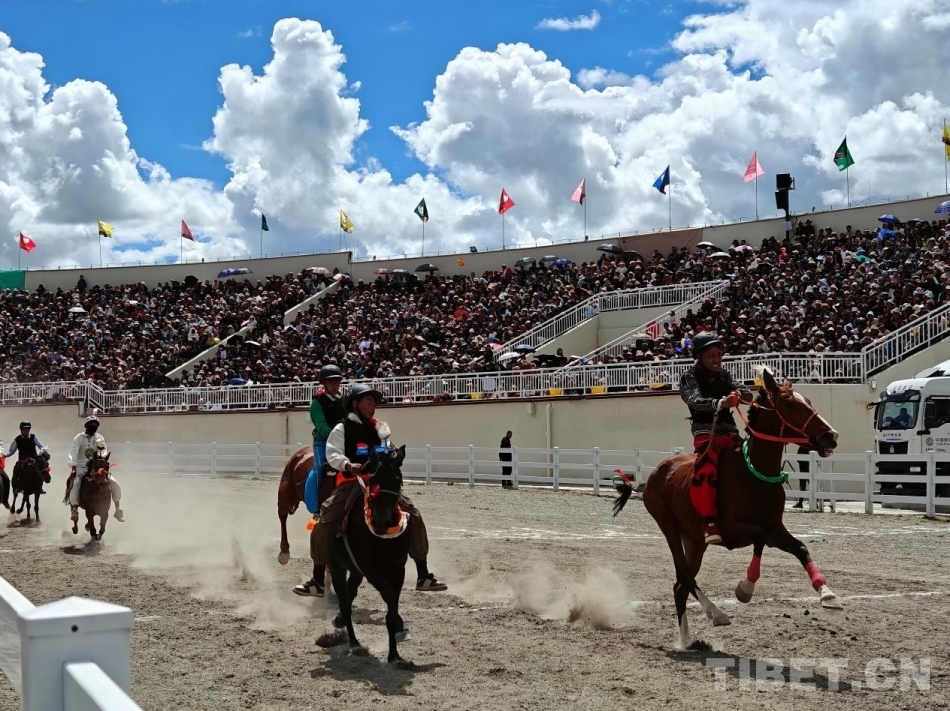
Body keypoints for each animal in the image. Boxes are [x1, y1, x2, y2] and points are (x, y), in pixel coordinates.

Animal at [328, 445, 412, 666]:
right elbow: (388, 597)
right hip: (337, 567)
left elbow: (392, 605)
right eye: (373, 479)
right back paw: (354, 643)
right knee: (344, 602)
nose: (381, 521)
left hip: (355, 571)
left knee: (349, 594)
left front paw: (395, 655)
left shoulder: (397, 569)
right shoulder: (371, 569)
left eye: (398, 478)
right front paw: (393, 653)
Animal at [612, 367, 842, 649]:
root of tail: (652, 477)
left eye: (808, 401)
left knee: (680, 586)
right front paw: (745, 588)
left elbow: (800, 548)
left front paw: (827, 594)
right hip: (668, 526)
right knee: (684, 575)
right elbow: (759, 538)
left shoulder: (775, 528)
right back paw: (716, 613)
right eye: (790, 404)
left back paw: (686, 639)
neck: (753, 474)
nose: (830, 436)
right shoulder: (734, 530)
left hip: (694, 540)